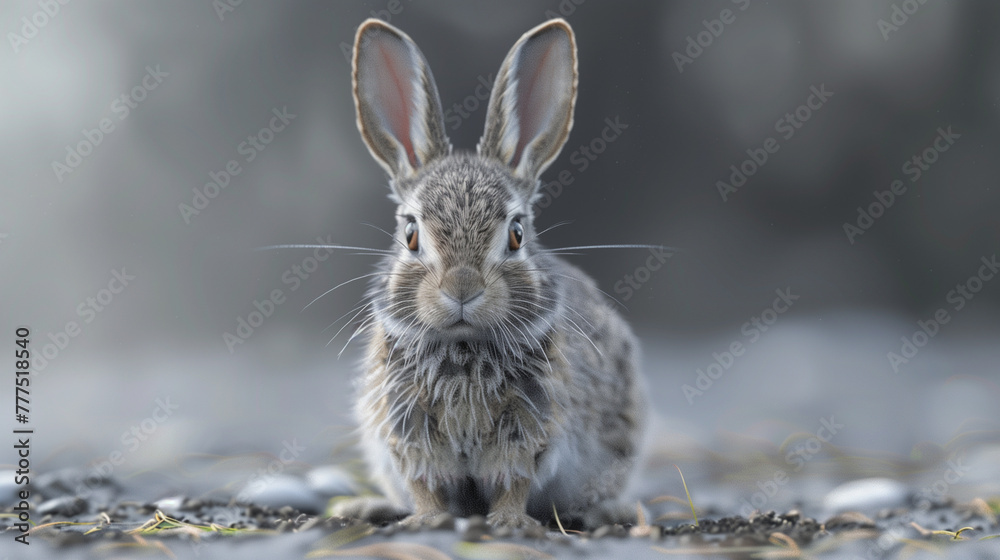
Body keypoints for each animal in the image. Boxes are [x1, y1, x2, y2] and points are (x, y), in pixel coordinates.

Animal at [346, 17, 647, 530]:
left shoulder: (530, 423)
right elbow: (423, 481)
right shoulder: (407, 423)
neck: (464, 346)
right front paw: (426, 521)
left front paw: (508, 522)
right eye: (410, 233)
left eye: (517, 233)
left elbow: (514, 479)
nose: (462, 289)